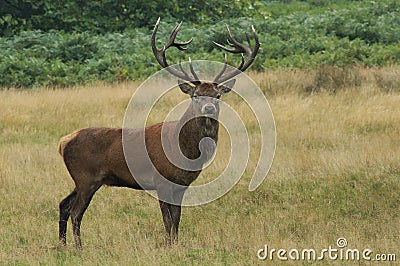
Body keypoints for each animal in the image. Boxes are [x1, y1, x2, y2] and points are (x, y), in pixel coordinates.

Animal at [57, 18, 260, 249]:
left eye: (217, 96)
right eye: (196, 95)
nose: (208, 108)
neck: (185, 151)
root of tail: (63, 142)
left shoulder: (181, 185)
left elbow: (177, 218)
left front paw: (176, 245)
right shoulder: (161, 180)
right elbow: (167, 219)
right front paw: (168, 246)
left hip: (81, 179)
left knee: (63, 205)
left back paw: (62, 245)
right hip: (86, 177)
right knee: (76, 212)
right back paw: (79, 248)